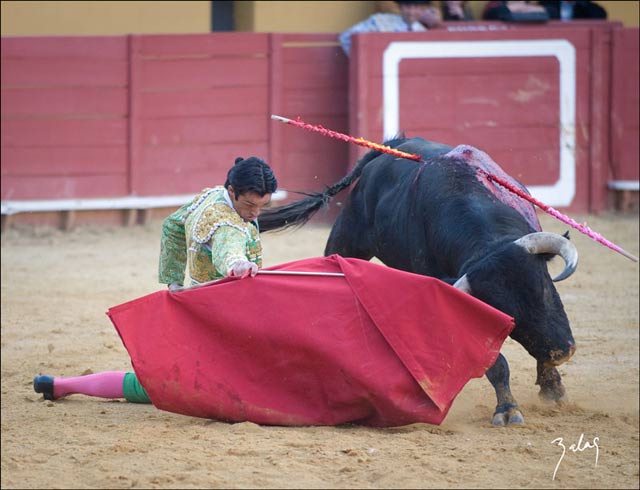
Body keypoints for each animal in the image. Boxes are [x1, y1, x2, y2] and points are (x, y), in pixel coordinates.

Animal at [258, 137, 576, 424]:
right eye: (509, 317)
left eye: (544, 288)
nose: (561, 352)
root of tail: (396, 144)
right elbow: (493, 360)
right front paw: (507, 409)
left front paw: (552, 387)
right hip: (347, 237)